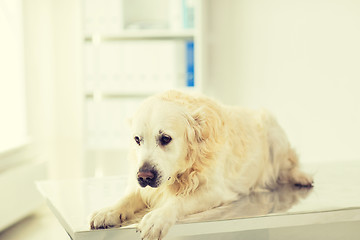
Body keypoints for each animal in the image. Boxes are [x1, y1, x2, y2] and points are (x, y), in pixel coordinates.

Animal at [89, 90, 312, 240]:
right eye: (137, 140)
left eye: (165, 138)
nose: (144, 176)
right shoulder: (144, 186)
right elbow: (127, 198)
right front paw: (107, 211)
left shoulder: (214, 190)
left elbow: (178, 201)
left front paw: (157, 218)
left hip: (274, 133)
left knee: (287, 165)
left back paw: (301, 176)